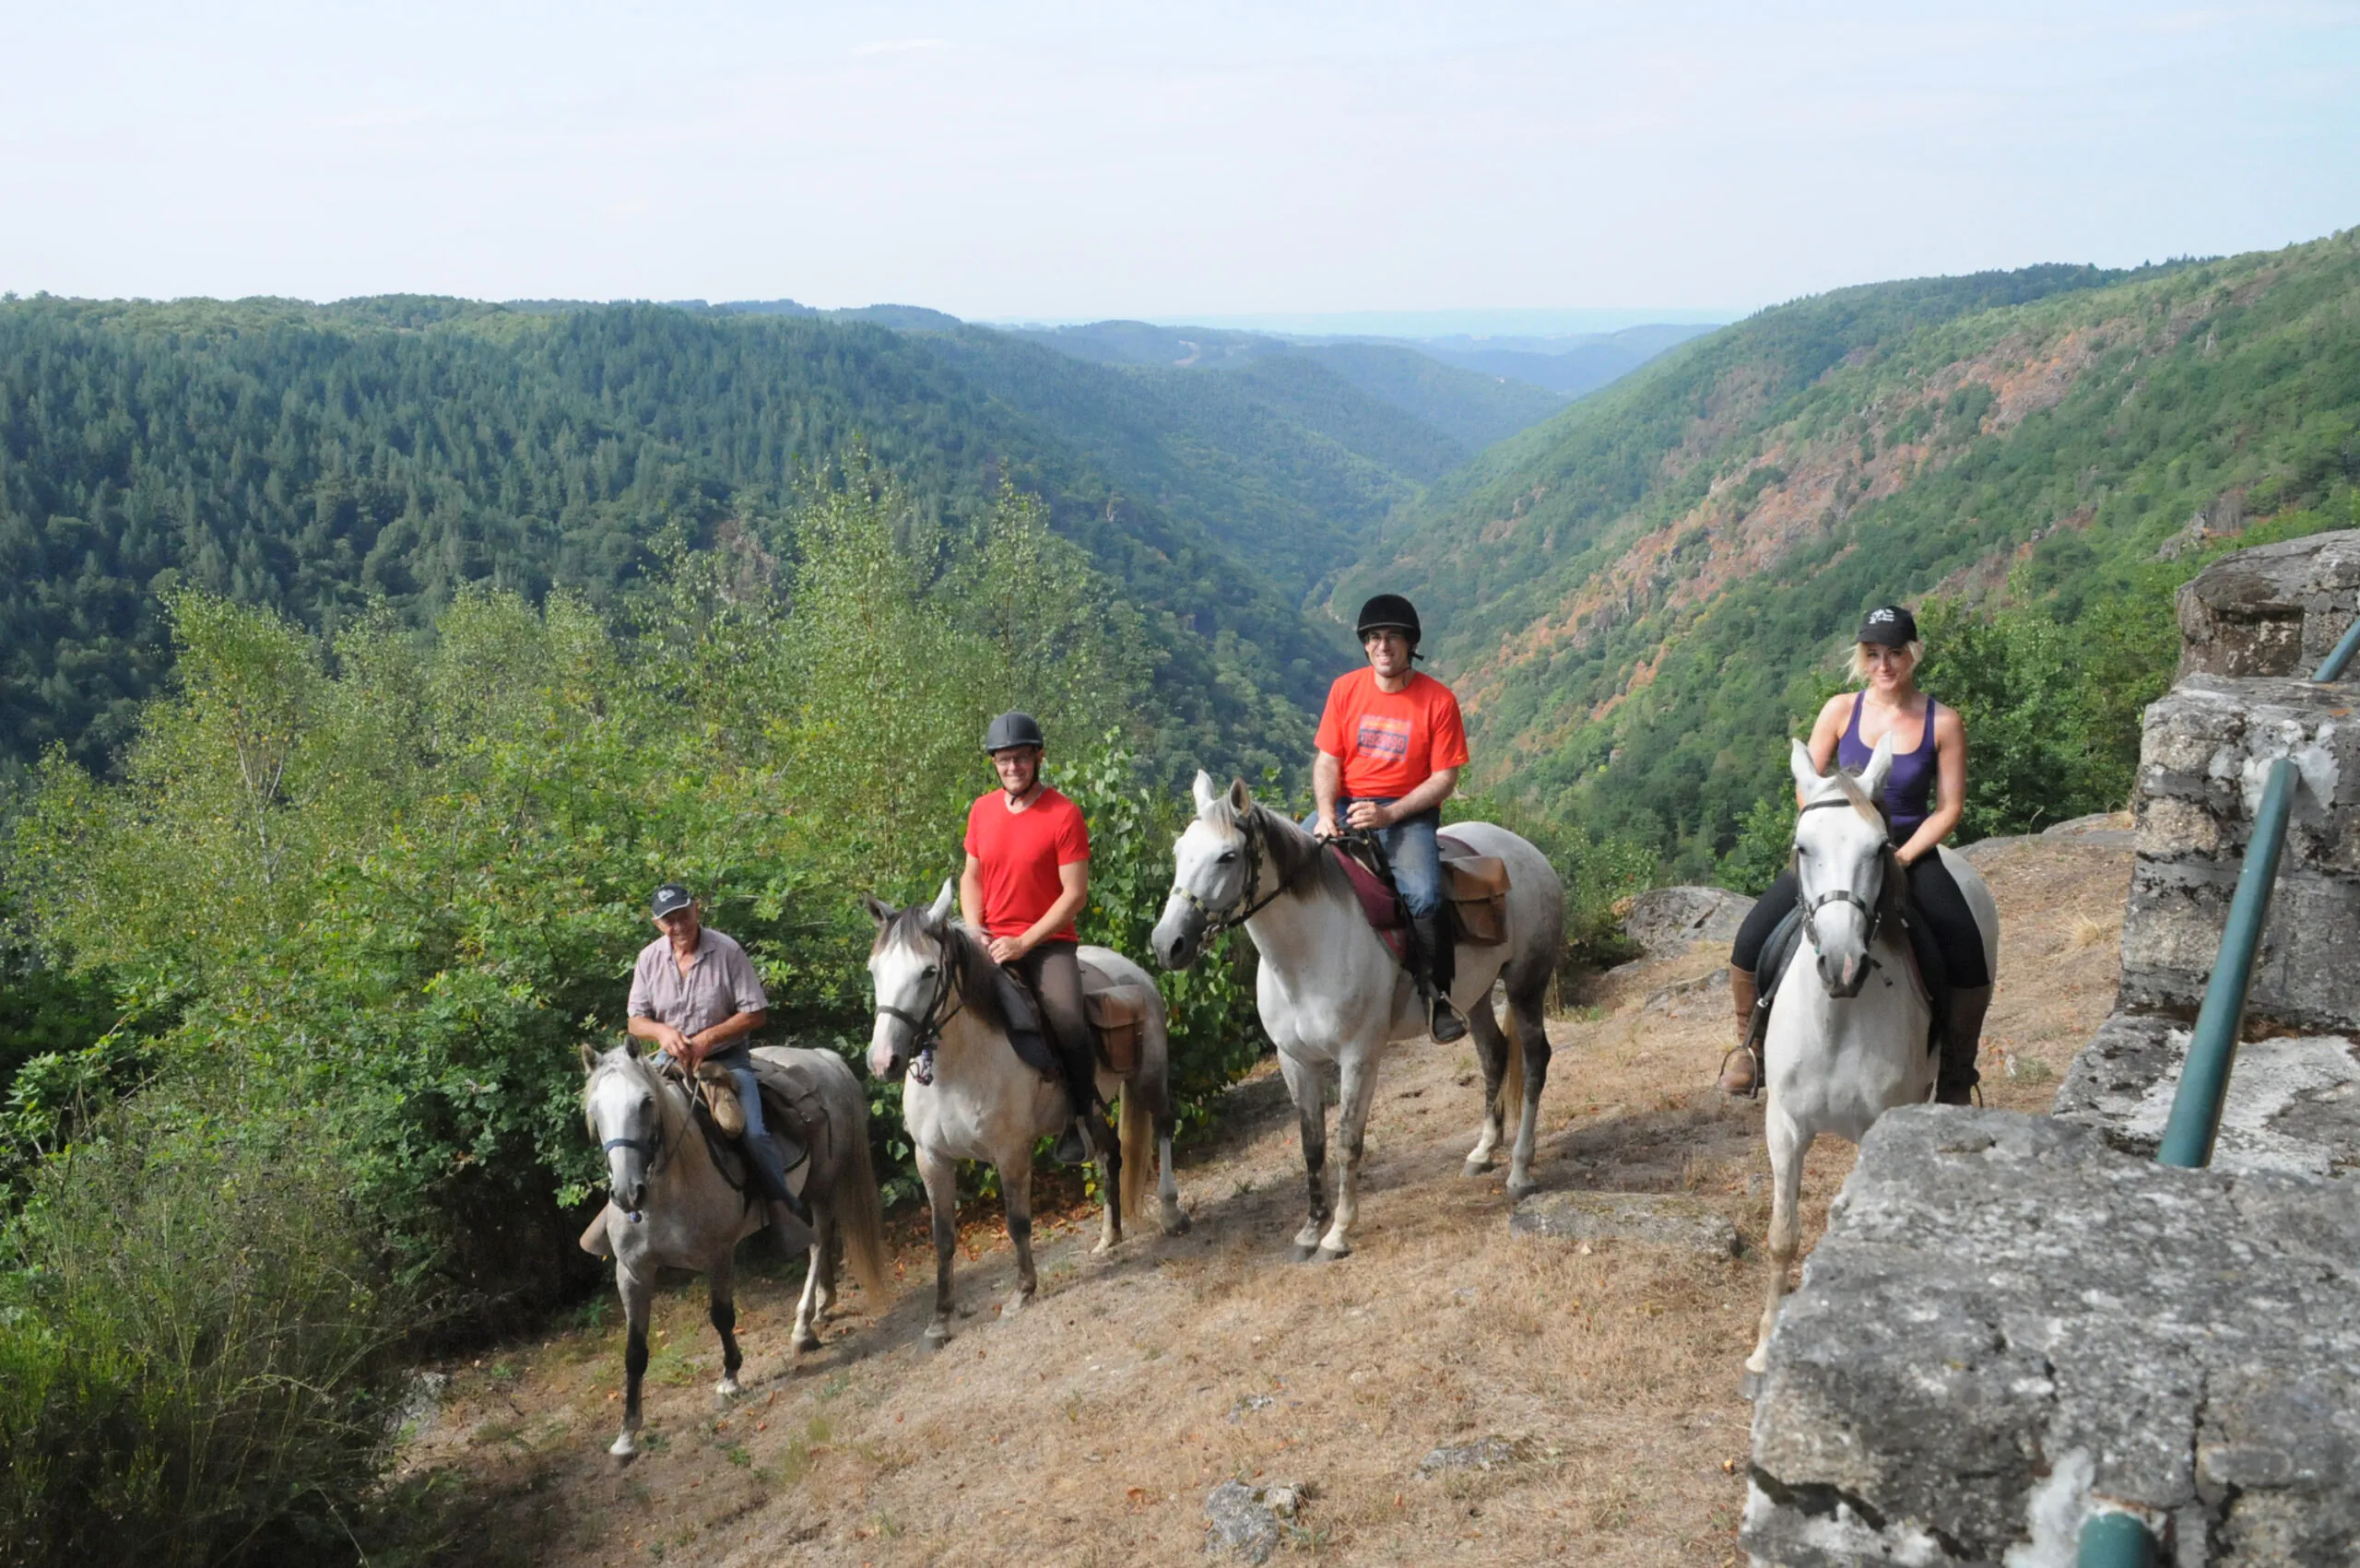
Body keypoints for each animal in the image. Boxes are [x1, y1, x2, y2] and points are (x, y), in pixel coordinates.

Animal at [580, 1039, 891, 1455]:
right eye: (595, 1110)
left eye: (646, 1102)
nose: (628, 1193)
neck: (670, 1185)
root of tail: (824, 1058)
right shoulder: (631, 1272)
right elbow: (634, 1351)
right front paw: (627, 1435)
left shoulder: (720, 1255)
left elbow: (722, 1317)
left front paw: (730, 1379)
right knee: (821, 1242)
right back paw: (823, 1308)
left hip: (822, 1185)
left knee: (819, 1240)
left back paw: (802, 1328)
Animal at [868, 883, 1189, 1350]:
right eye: (875, 970)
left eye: (928, 972)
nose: (883, 1061)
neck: (956, 1070)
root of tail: (1135, 974)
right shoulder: (931, 1159)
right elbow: (943, 1239)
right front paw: (939, 1321)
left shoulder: (1011, 1152)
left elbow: (1018, 1222)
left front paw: (1023, 1292)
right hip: (1090, 1109)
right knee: (1110, 1154)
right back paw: (1108, 1237)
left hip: (1149, 1076)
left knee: (1163, 1128)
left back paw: (1170, 1213)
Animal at [1147, 770, 1557, 1266]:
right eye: (1177, 851)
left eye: (1228, 856)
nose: (1167, 943)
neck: (1308, 952)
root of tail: (1525, 850)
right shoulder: (1295, 1062)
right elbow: (1312, 1144)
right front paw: (1309, 1230)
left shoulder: (1358, 1057)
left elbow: (1346, 1143)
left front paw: (1338, 1233)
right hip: (1475, 997)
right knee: (1494, 1055)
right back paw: (1482, 1152)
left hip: (1525, 984)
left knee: (1533, 1062)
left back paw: (1520, 1170)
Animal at [1746, 737, 2000, 1388]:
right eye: (1802, 847)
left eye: (1879, 849)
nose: (1841, 963)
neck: (1836, 1018)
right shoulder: (1784, 1125)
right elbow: (1782, 1235)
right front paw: (1763, 1348)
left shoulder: (1875, 1129)